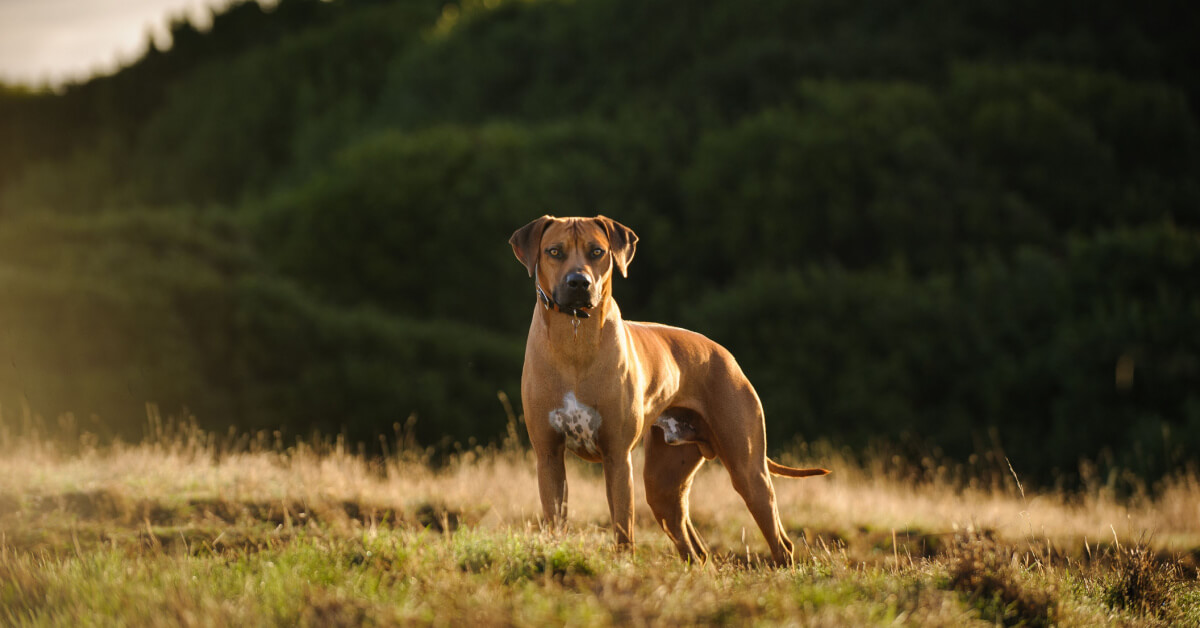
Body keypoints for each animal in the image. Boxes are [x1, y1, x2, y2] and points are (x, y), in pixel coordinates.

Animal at [506, 216, 825, 564]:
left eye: (597, 251)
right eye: (554, 251)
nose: (579, 282)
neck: (575, 338)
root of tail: (725, 354)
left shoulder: (617, 457)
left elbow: (623, 528)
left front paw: (623, 566)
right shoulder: (548, 455)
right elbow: (556, 521)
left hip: (748, 470)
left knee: (781, 543)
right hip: (663, 485)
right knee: (696, 551)